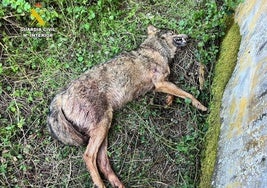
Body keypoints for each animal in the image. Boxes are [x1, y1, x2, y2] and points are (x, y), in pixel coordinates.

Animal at [47, 25, 208, 188]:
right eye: (173, 32)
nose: (189, 36)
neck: (156, 50)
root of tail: (62, 95)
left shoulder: (161, 84)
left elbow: (175, 93)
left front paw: (168, 102)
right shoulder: (160, 83)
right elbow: (188, 94)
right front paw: (200, 105)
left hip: (104, 130)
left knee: (102, 162)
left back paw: (118, 184)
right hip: (102, 126)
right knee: (88, 156)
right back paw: (101, 184)